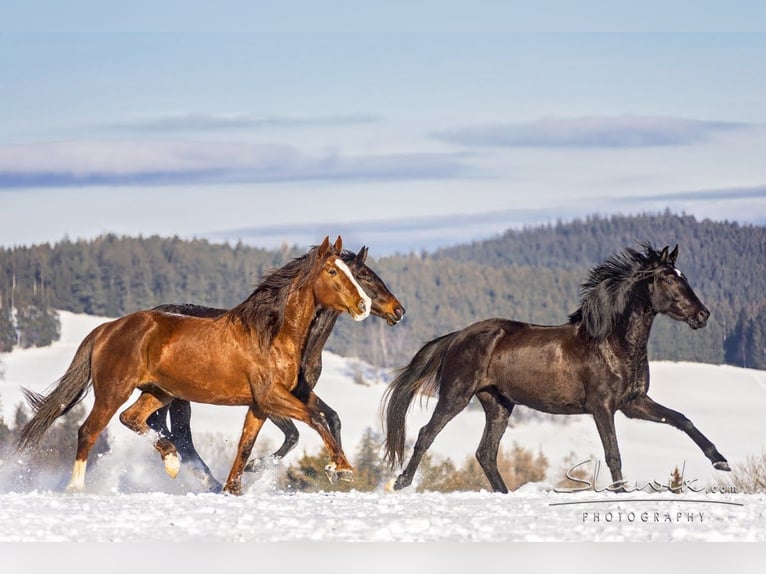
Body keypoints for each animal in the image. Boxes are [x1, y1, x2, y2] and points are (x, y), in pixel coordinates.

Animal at [16, 236, 372, 495]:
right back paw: (76, 488)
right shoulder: (272, 396)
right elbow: (316, 418)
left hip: (159, 392)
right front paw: (341, 468)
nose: (364, 305)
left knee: (133, 419)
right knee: (89, 430)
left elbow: (246, 446)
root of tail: (107, 328)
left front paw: (232, 489)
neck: (270, 334)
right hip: (114, 390)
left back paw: (173, 462)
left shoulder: (260, 404)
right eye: (332, 272)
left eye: (353, 273)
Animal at [147, 246, 405, 491]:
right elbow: (294, 434)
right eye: (364, 276)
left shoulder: (301, 392)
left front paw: (335, 470)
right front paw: (256, 466)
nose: (399, 311)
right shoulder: (269, 398)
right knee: (175, 433)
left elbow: (333, 417)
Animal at [383, 243, 729, 493]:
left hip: (498, 403)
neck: (613, 344)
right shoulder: (603, 407)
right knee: (427, 434)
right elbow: (613, 453)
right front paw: (620, 494)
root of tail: (458, 336)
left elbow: (681, 419)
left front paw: (721, 462)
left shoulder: (634, 403)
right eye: (669, 278)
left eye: (683, 276)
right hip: (456, 395)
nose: (703, 315)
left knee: (486, 453)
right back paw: (400, 483)